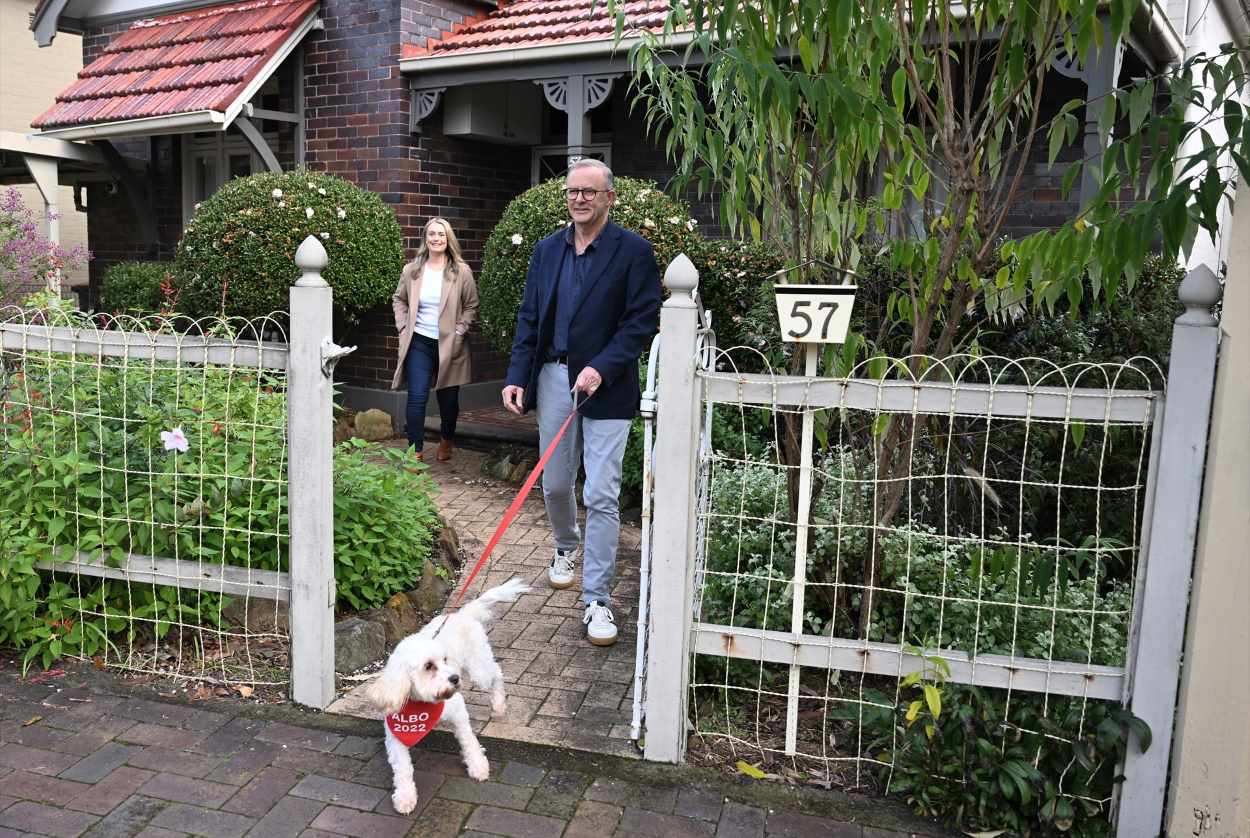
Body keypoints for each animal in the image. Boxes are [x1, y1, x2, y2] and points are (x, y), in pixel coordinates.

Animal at [365, 577, 532, 815]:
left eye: (445, 659)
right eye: (428, 666)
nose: (455, 678)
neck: (422, 703)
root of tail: (463, 613)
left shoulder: (458, 711)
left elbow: (469, 740)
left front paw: (478, 765)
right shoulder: (395, 736)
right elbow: (403, 770)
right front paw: (405, 797)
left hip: (479, 670)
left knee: (497, 675)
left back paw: (499, 706)